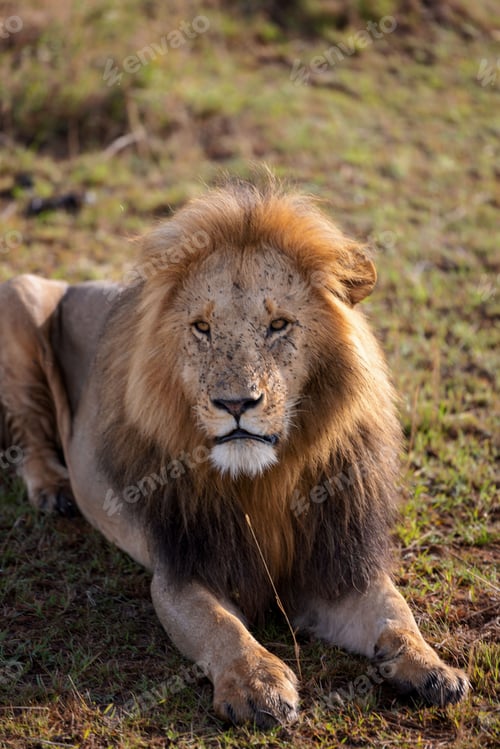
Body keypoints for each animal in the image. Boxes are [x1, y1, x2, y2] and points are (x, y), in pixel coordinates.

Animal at [0, 179, 468, 727]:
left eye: (279, 325)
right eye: (202, 328)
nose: (236, 403)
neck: (264, 481)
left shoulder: (337, 566)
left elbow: (396, 614)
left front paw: (431, 667)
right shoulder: (182, 572)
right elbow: (222, 627)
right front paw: (257, 685)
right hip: (19, 295)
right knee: (30, 435)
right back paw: (54, 489)